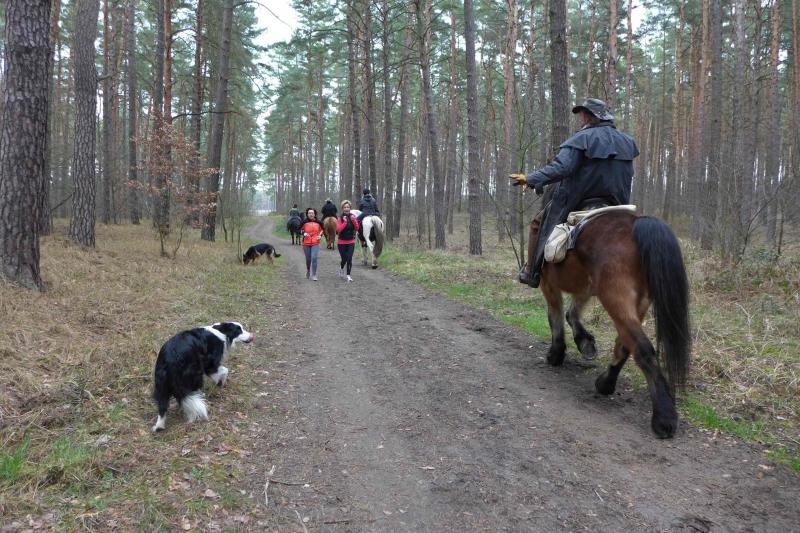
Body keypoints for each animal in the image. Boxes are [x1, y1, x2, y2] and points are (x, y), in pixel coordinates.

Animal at [537, 211, 690, 439]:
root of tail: (637, 223)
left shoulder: (548, 284)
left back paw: (664, 418)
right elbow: (572, 312)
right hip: (638, 303)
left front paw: (556, 354)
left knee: (642, 349)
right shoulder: (586, 287)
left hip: (616, 297)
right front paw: (585, 343)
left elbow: (555, 316)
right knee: (626, 344)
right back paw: (605, 384)